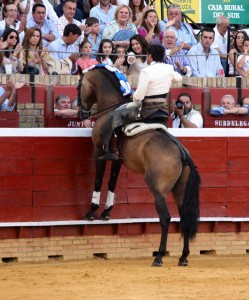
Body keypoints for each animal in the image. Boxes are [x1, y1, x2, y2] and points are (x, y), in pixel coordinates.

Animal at [78, 67, 200, 266]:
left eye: (79, 85)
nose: (81, 113)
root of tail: (182, 154)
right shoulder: (118, 160)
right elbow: (112, 182)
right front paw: (106, 212)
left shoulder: (99, 153)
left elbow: (98, 180)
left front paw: (91, 212)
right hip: (180, 190)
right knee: (184, 216)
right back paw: (183, 256)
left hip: (157, 189)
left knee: (165, 218)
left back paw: (159, 256)